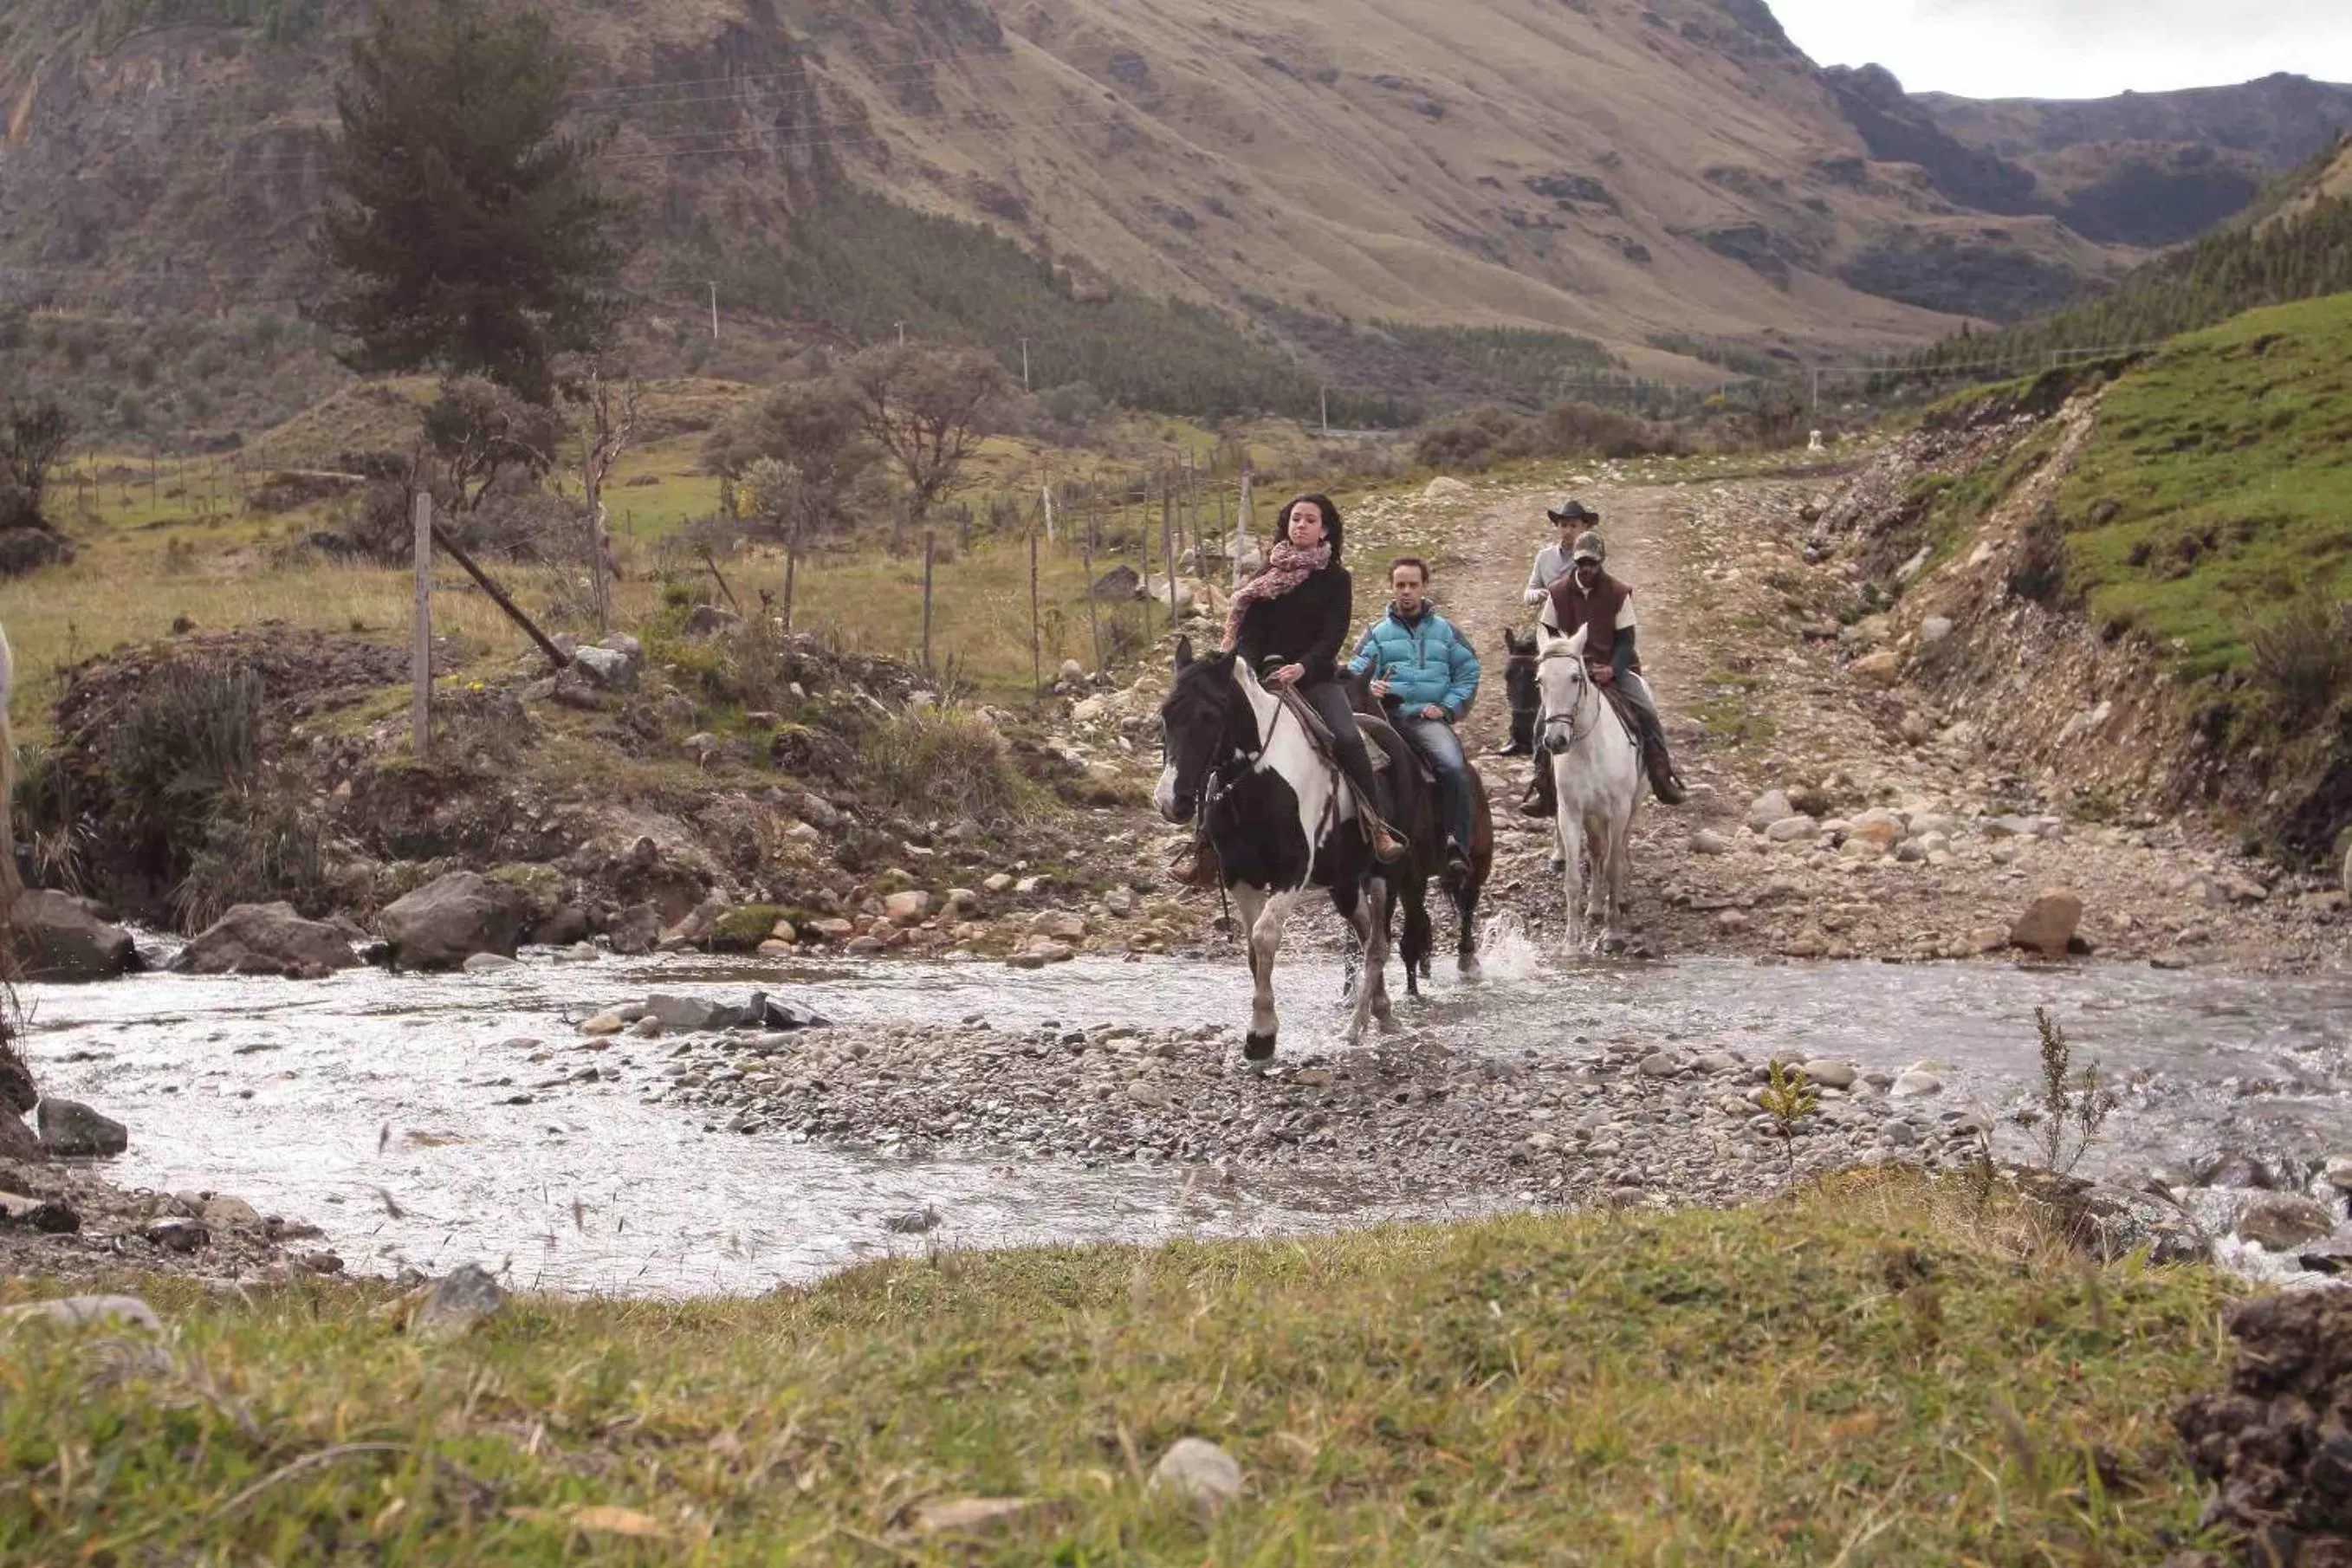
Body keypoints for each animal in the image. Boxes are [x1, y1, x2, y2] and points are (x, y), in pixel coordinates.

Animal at [1155, 637, 1395, 1060]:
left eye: (1210, 716)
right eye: (1165, 714)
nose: (1171, 801)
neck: (1257, 780)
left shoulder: (1292, 871)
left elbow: (1266, 936)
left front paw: (1262, 1034)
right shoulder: (1240, 877)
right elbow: (1253, 949)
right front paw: (1261, 1029)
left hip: (1383, 873)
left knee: (1378, 944)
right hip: (1345, 883)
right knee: (1367, 934)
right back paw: (1378, 1011)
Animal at [1536, 625, 1642, 953]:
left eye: (1575, 677)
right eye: (1540, 680)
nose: (1556, 741)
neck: (1589, 749)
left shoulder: (1619, 809)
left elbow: (1613, 867)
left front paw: (1613, 933)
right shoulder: (1570, 812)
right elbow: (1573, 877)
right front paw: (1571, 942)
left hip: (1632, 805)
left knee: (1618, 849)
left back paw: (1618, 899)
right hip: (1593, 816)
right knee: (1596, 851)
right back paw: (1595, 905)